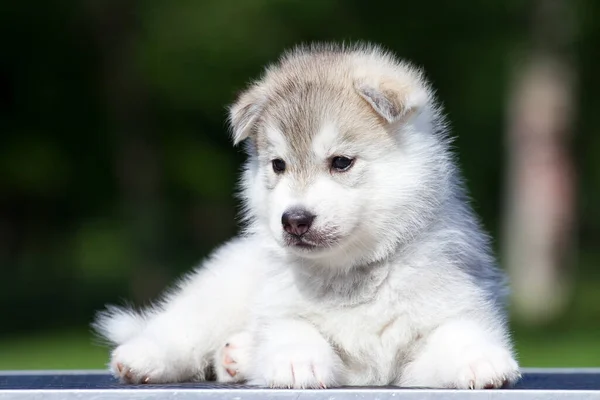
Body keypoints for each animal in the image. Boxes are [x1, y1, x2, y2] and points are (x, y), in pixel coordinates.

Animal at [92, 42, 520, 390]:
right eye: (278, 165)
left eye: (341, 162)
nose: (294, 220)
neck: (351, 272)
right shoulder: (281, 308)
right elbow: (293, 329)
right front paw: (297, 363)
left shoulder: (451, 306)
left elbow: (459, 334)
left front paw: (481, 362)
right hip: (225, 287)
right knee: (183, 325)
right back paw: (143, 357)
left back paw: (236, 356)